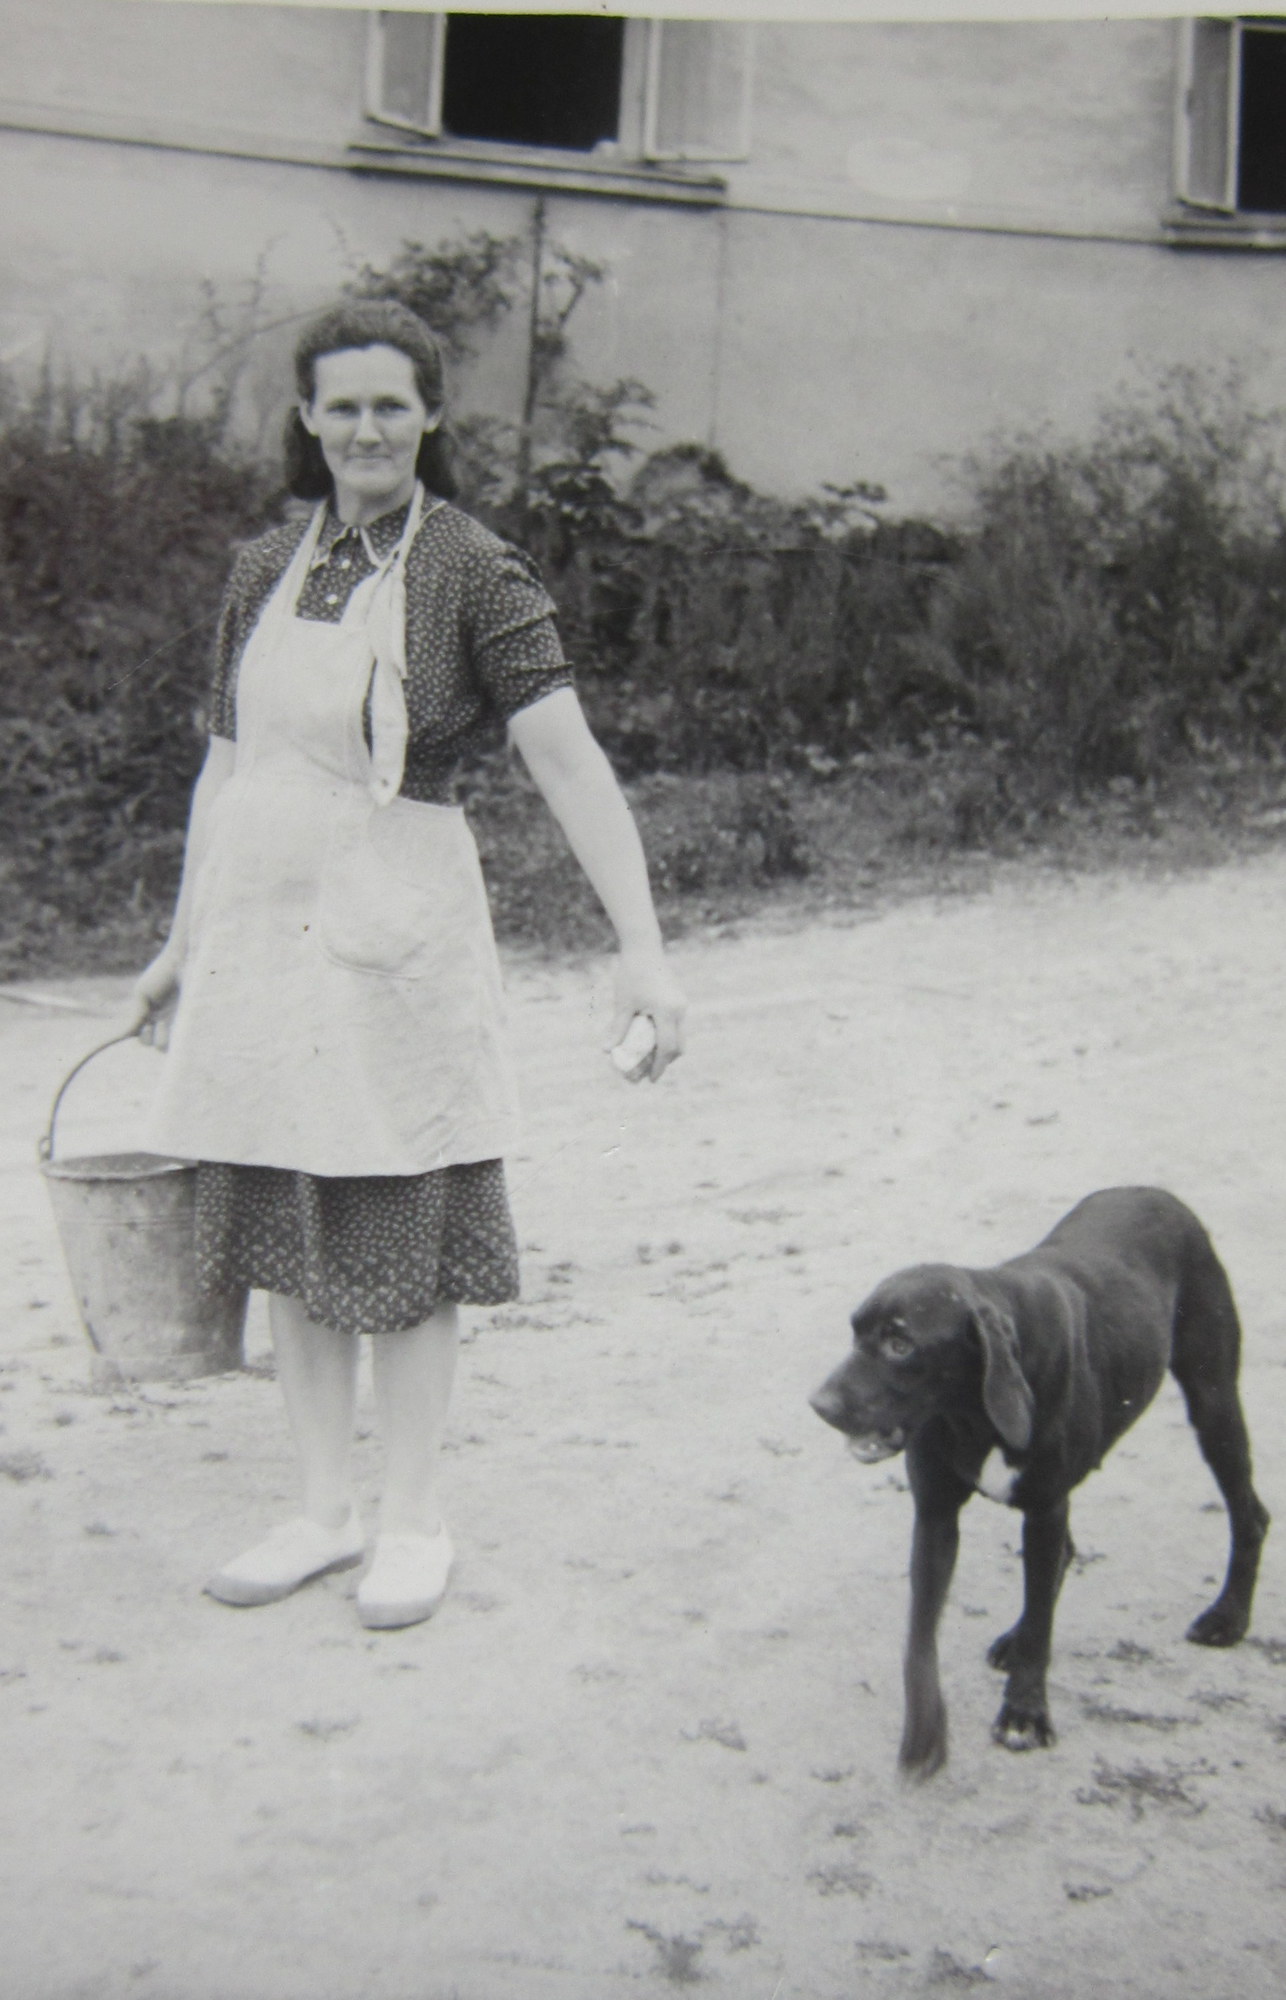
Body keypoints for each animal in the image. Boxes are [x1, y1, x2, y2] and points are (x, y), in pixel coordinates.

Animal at [810, 1188, 1269, 1777]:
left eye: (900, 1343)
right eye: (855, 1332)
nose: (819, 1405)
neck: (973, 1410)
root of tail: (1157, 1192)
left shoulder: (1045, 1506)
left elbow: (1042, 1624)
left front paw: (1025, 1713)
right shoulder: (936, 1515)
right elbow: (920, 1636)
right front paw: (924, 1733)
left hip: (1213, 1403)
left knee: (1249, 1513)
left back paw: (1228, 1616)